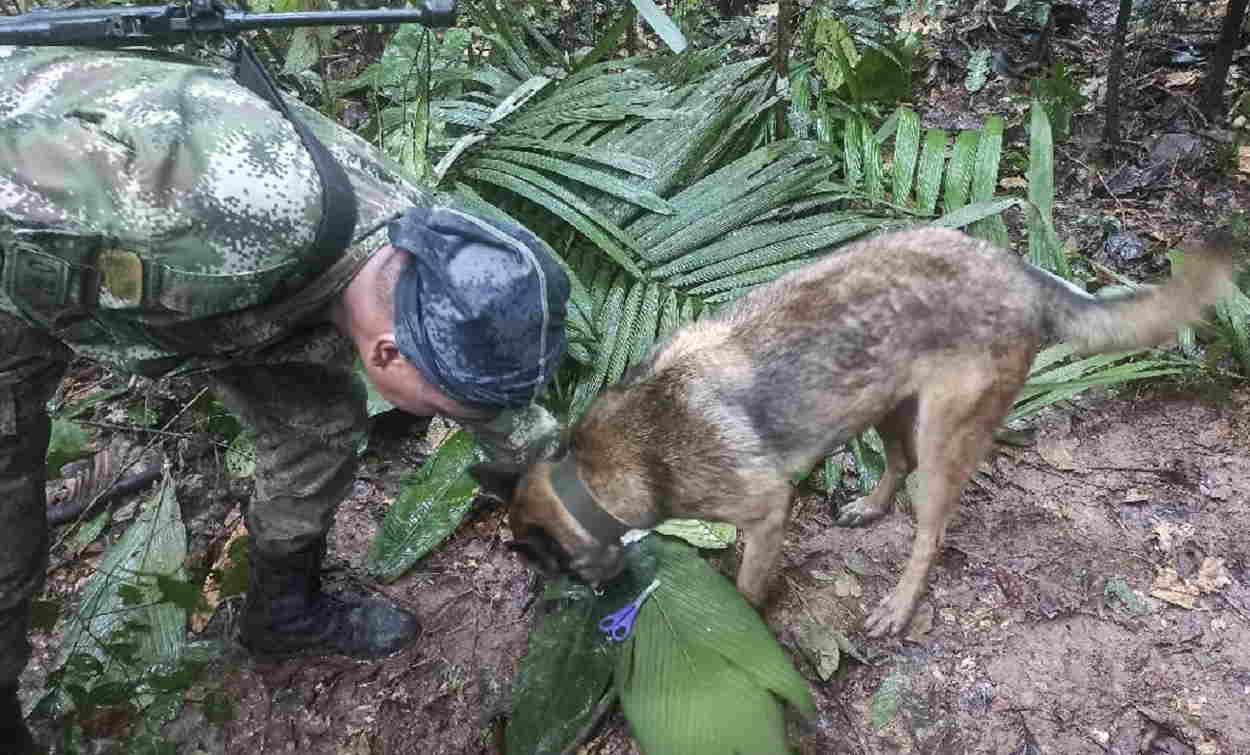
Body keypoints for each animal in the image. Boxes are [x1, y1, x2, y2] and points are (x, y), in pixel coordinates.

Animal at [470, 225, 1240, 637]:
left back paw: (898, 604)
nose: (558, 607)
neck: (600, 467)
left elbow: (747, 585)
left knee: (931, 530)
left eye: (549, 568)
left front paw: (741, 618)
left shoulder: (765, 511)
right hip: (887, 405)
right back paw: (869, 507)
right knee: (895, 466)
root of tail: (1020, 272)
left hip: (942, 435)